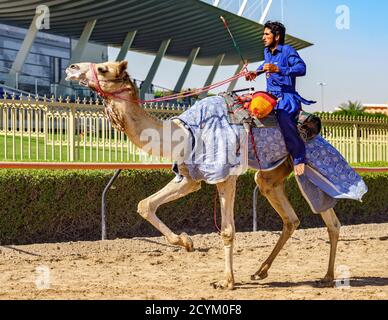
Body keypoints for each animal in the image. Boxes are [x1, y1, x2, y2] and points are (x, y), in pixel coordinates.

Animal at [66, 60, 342, 290]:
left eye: (103, 69)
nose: (71, 67)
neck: (183, 133)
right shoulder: (189, 177)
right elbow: (145, 205)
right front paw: (186, 242)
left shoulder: (225, 175)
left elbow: (227, 231)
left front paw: (226, 282)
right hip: (272, 174)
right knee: (290, 216)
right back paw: (262, 271)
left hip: (308, 163)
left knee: (330, 217)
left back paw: (327, 276)